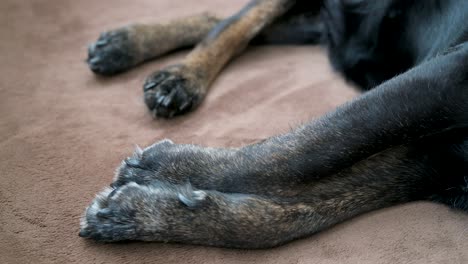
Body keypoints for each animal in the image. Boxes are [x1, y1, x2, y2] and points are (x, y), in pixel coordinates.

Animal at [78, 0, 468, 249]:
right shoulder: (446, 77)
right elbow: (313, 149)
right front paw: (163, 169)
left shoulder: (433, 163)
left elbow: (287, 219)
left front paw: (137, 213)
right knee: (236, 23)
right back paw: (180, 72)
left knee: (232, 21)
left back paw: (124, 45)